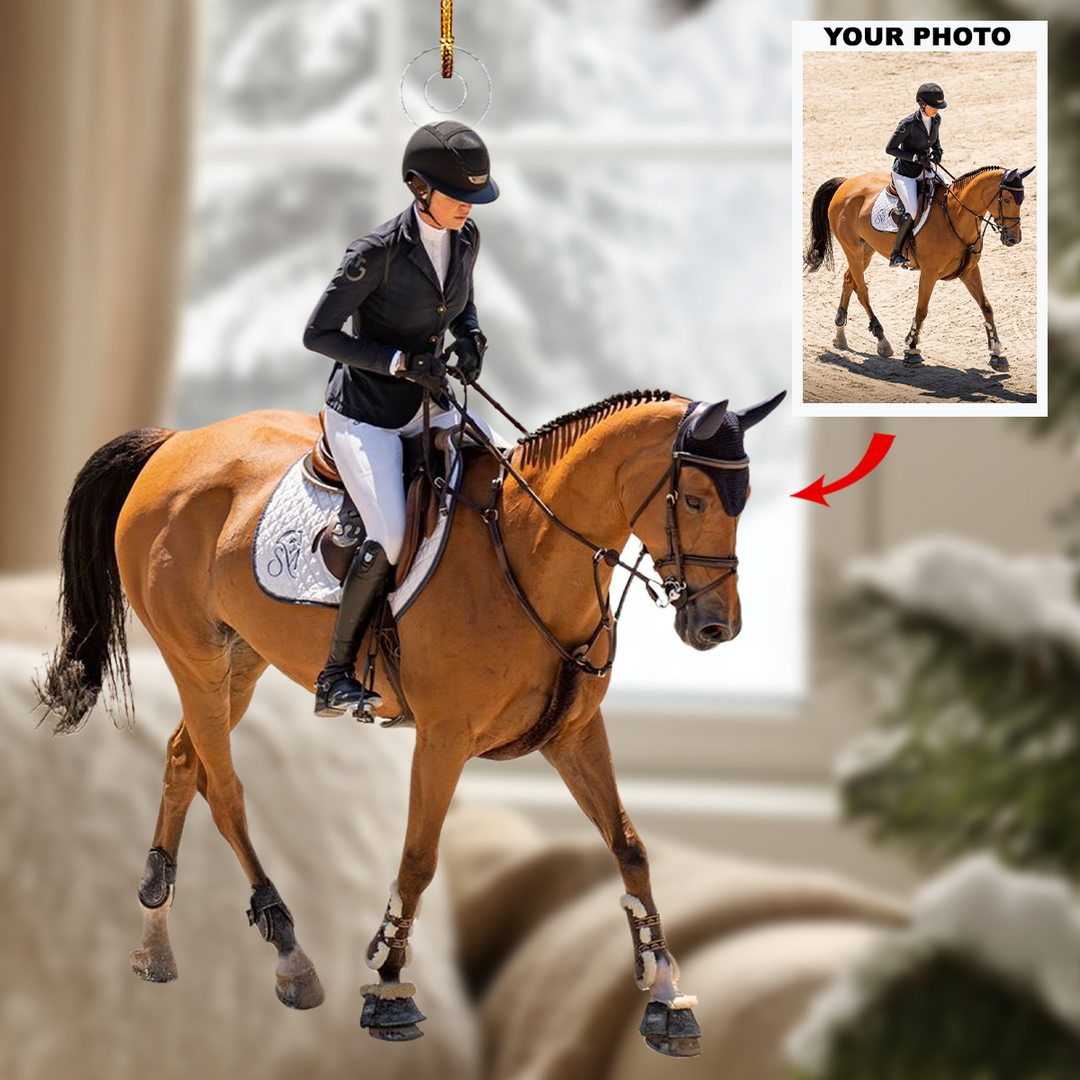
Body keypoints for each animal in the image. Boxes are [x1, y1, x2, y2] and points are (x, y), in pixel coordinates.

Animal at [36, 386, 785, 1054]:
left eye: (743, 502)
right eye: (695, 499)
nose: (716, 627)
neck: (532, 554)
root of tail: (174, 443)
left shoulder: (575, 736)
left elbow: (629, 846)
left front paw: (665, 993)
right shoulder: (444, 740)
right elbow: (419, 862)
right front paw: (390, 988)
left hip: (239, 661)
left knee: (183, 759)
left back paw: (155, 938)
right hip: (196, 658)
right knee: (222, 787)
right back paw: (288, 951)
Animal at [804, 165, 1035, 369]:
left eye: (1022, 200)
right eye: (1006, 200)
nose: (1014, 239)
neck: (956, 217)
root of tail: (846, 182)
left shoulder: (969, 272)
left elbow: (986, 307)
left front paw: (997, 353)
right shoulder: (929, 273)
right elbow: (921, 310)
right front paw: (912, 349)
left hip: (866, 250)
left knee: (848, 279)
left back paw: (840, 335)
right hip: (852, 249)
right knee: (861, 290)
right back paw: (881, 340)